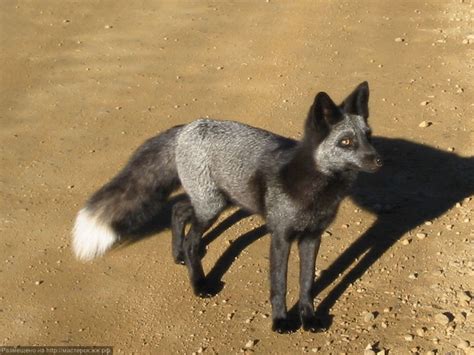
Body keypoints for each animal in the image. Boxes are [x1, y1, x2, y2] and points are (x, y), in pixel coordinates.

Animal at [73, 82, 382, 332]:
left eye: (369, 136)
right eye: (346, 142)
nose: (379, 160)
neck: (314, 190)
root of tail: (188, 127)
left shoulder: (311, 237)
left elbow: (306, 283)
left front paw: (309, 318)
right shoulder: (281, 236)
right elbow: (280, 284)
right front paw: (281, 321)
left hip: (217, 201)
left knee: (179, 210)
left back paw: (178, 254)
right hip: (212, 206)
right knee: (190, 234)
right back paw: (198, 283)